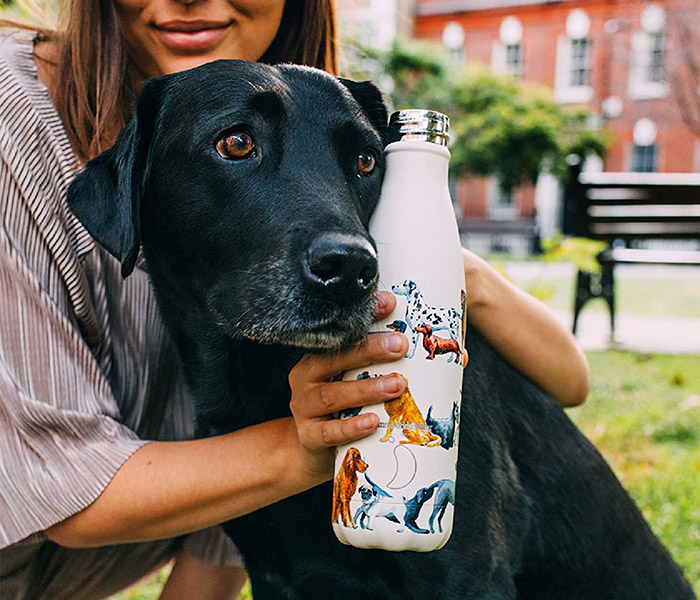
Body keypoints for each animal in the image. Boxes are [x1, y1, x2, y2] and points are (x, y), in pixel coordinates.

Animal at [67, 61, 696, 600]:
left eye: (368, 161)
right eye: (236, 143)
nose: (350, 268)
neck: (259, 386)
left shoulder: (466, 573)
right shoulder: (274, 572)